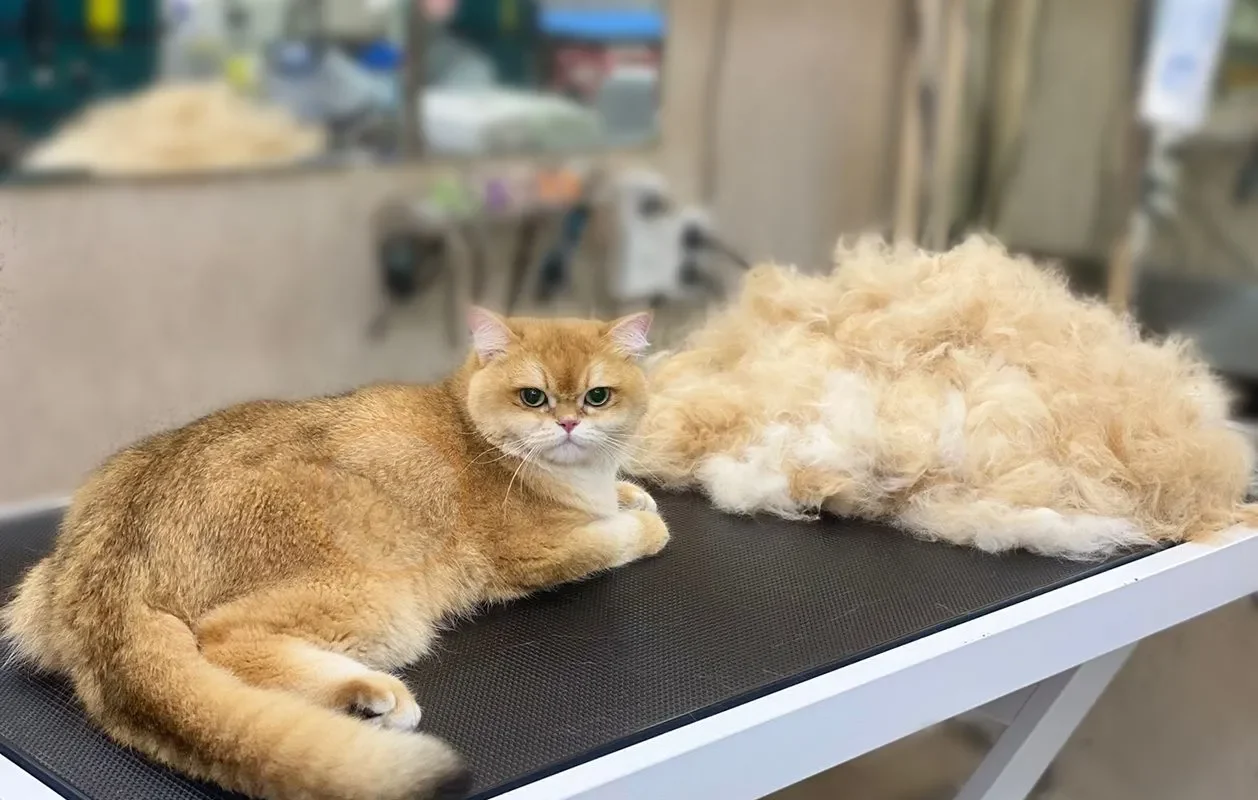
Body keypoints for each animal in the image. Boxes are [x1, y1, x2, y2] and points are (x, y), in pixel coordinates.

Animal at [1, 309, 667, 800]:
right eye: (532, 396)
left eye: (598, 396)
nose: (569, 424)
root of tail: (112, 566)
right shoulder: (534, 552)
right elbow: (623, 535)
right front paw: (643, 521)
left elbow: (620, 495)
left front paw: (630, 492)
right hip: (377, 598)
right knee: (224, 640)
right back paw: (371, 695)